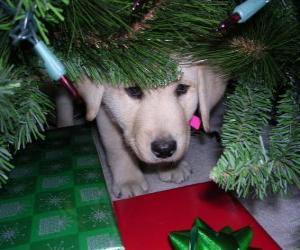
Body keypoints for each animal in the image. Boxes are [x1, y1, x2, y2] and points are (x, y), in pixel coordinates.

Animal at [76, 64, 226, 197]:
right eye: (134, 89)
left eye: (182, 88)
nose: (164, 149)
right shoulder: (104, 110)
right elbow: (118, 149)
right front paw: (129, 180)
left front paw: (171, 167)